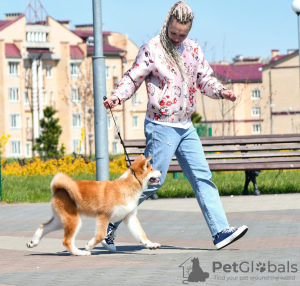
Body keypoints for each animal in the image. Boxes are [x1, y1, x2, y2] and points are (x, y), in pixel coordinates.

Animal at [26, 155, 162, 256]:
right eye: (151, 169)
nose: (160, 170)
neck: (125, 187)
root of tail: (58, 189)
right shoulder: (103, 216)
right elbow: (101, 235)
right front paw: (89, 246)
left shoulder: (130, 217)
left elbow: (141, 234)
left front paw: (151, 245)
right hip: (73, 220)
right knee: (67, 241)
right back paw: (80, 253)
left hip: (61, 221)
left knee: (43, 227)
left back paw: (33, 242)